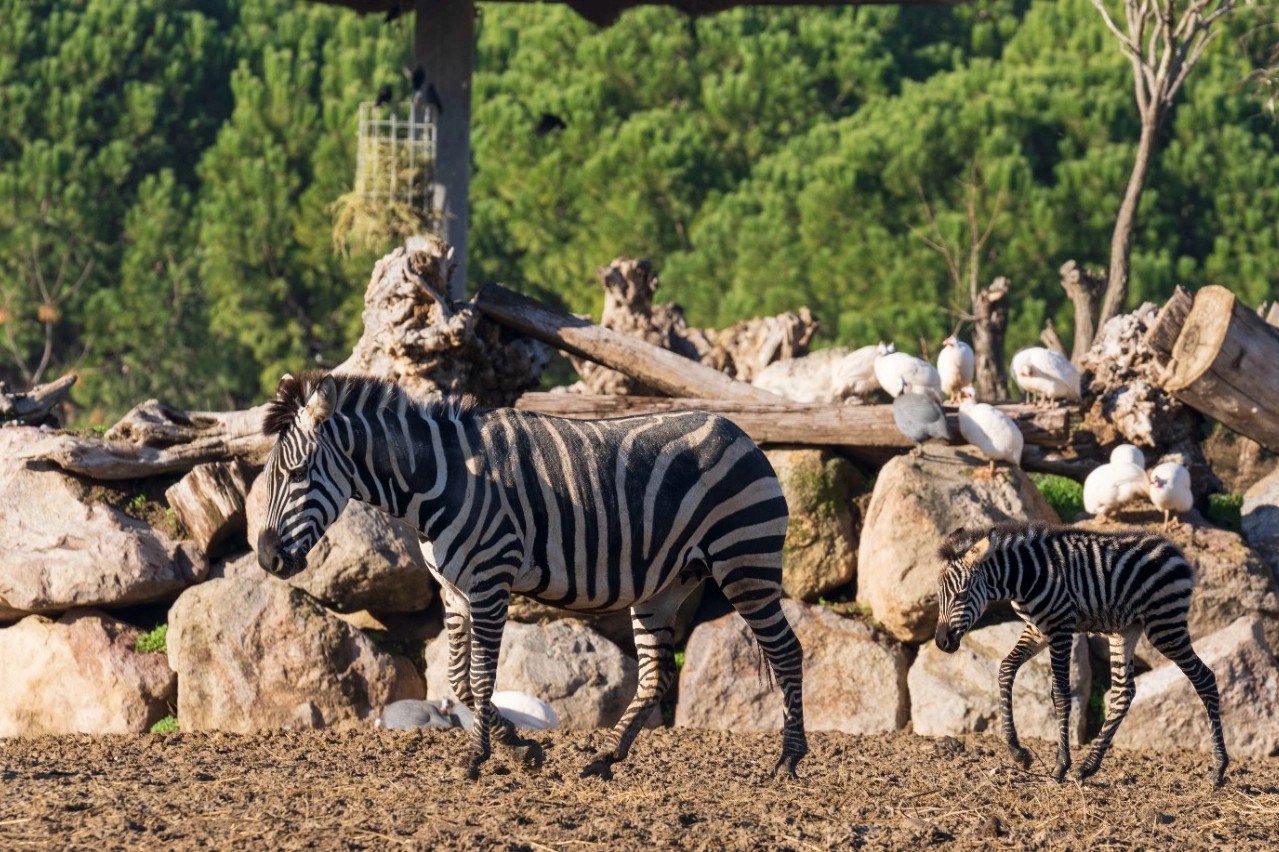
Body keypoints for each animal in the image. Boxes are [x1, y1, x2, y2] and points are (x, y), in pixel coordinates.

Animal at [254, 370, 803, 777]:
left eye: (297, 473)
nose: (266, 558)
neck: (439, 481)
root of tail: (740, 433)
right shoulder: (453, 593)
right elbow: (458, 680)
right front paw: (520, 749)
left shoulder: (489, 582)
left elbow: (480, 677)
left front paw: (479, 759)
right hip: (666, 585)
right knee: (656, 673)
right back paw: (605, 758)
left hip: (744, 562)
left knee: (786, 651)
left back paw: (788, 761)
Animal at [936, 521, 1222, 788]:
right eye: (938, 597)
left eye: (961, 595)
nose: (941, 642)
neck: (1028, 576)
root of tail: (1175, 550)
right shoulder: (1038, 629)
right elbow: (1006, 668)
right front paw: (1018, 751)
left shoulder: (1060, 626)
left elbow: (1061, 694)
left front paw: (1060, 766)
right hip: (1125, 630)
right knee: (1123, 692)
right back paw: (1088, 767)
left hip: (1165, 625)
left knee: (1205, 678)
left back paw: (1219, 770)